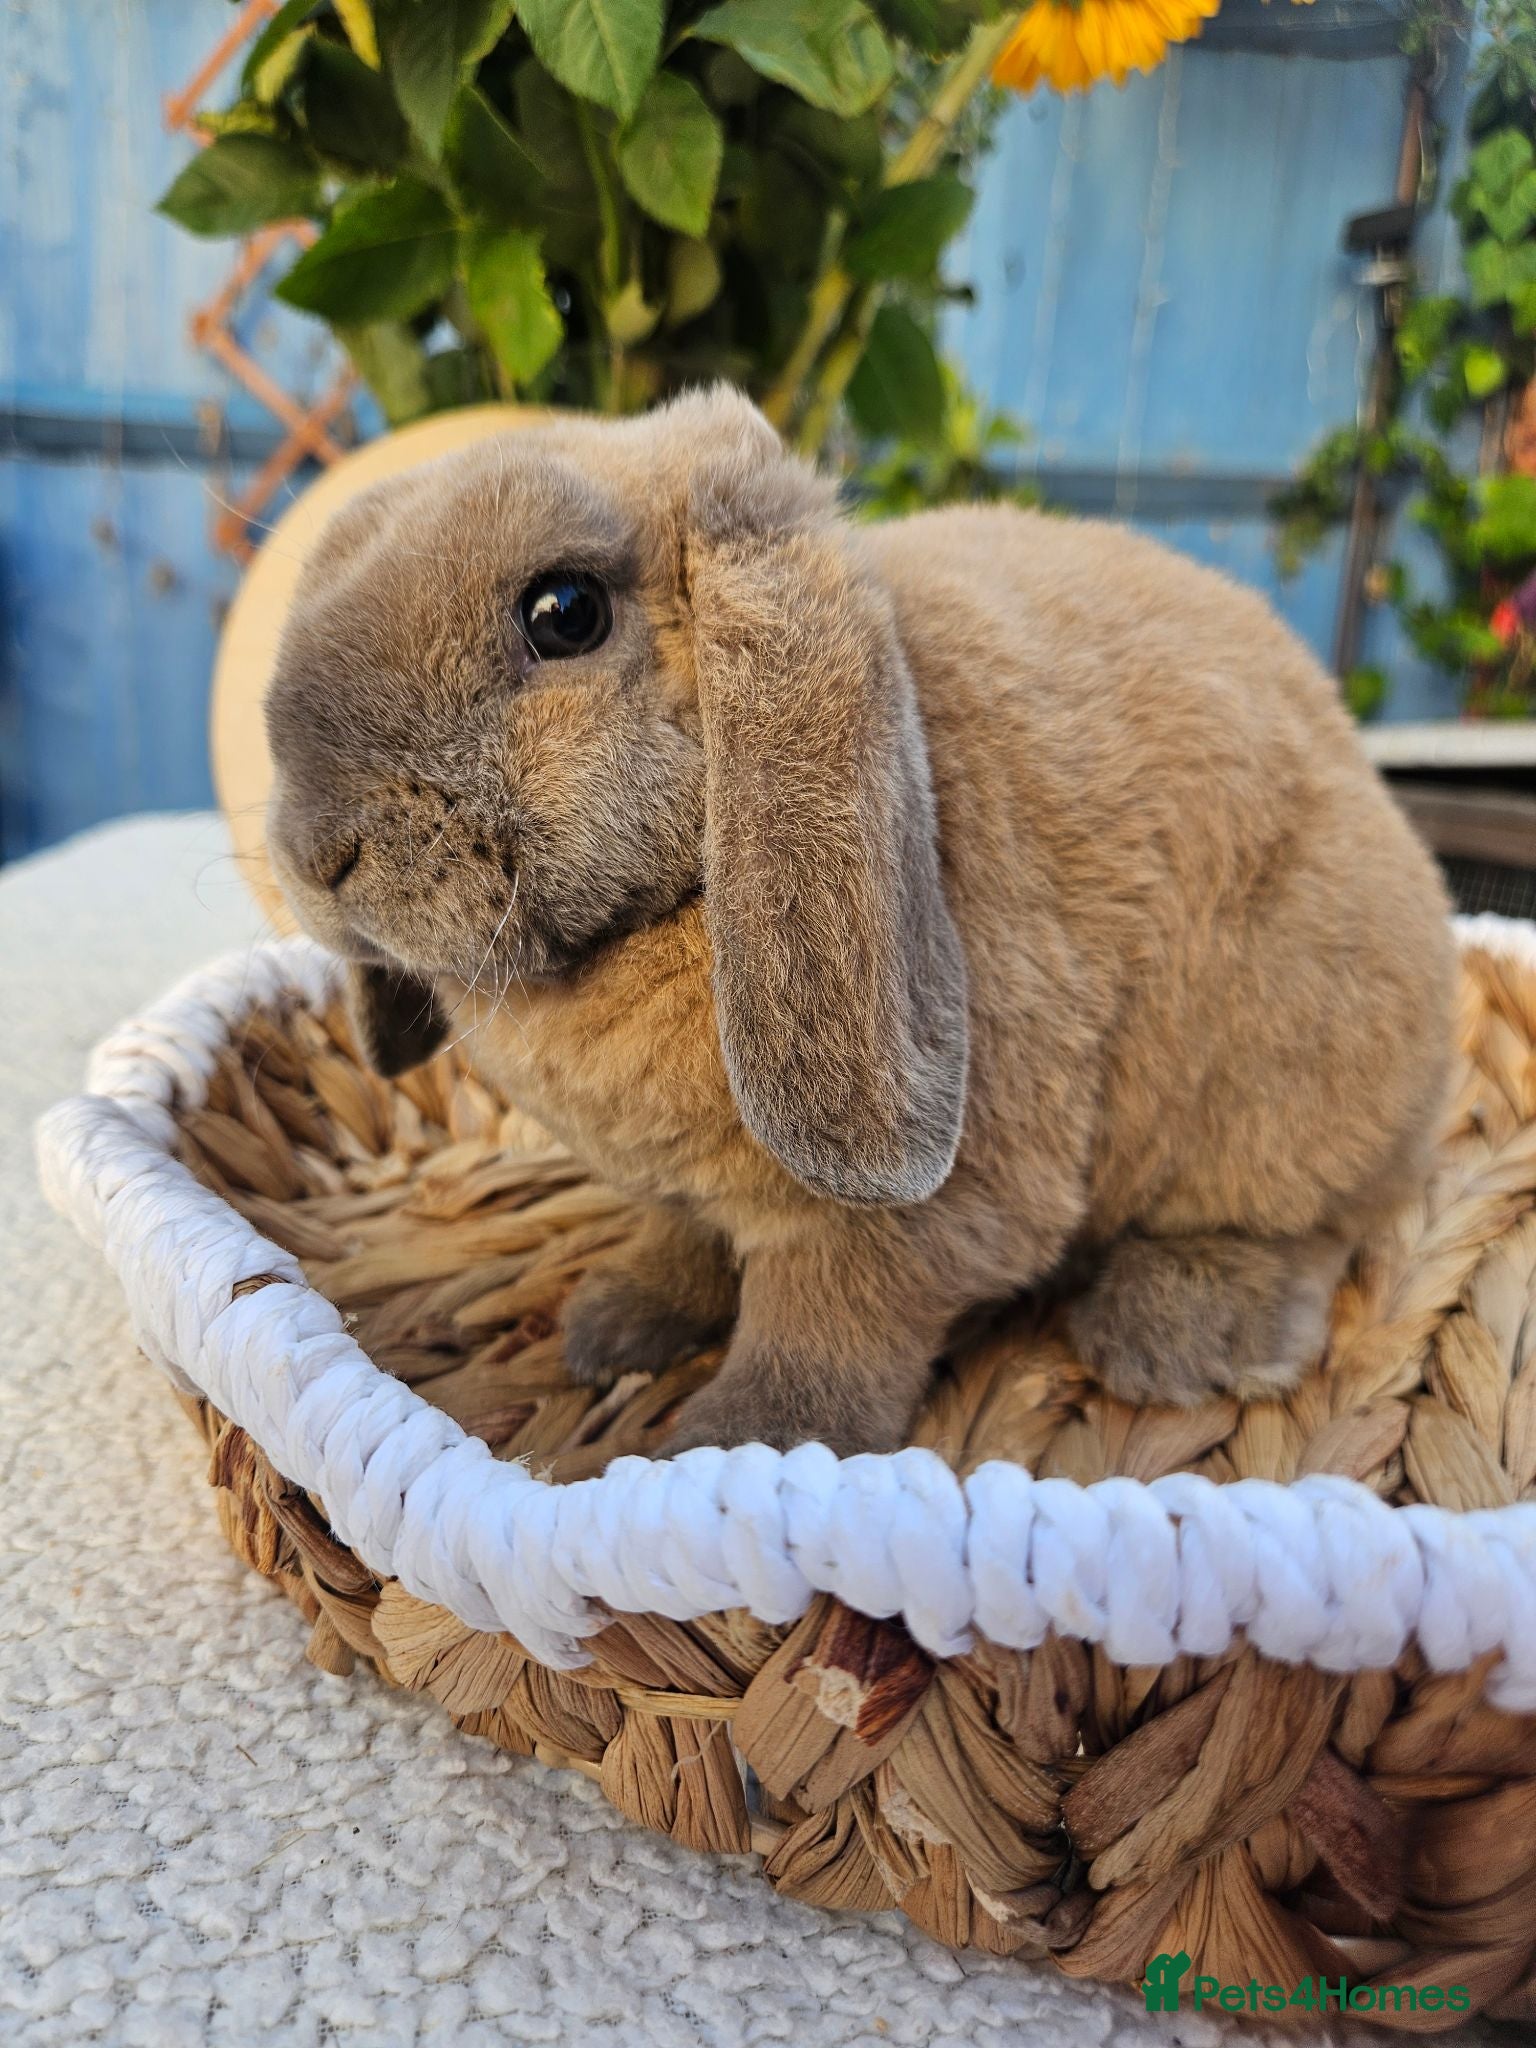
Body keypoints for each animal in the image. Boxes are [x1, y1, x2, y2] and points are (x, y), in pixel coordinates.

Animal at [264, 383, 1455, 1456]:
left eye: (566, 612)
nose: (318, 854)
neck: (662, 918)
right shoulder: (682, 1193)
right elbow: (681, 1236)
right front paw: (618, 1323)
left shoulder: (904, 1217)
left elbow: (834, 1315)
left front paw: (743, 1442)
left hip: (1289, 1086)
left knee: (1311, 1225)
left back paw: (1175, 1334)